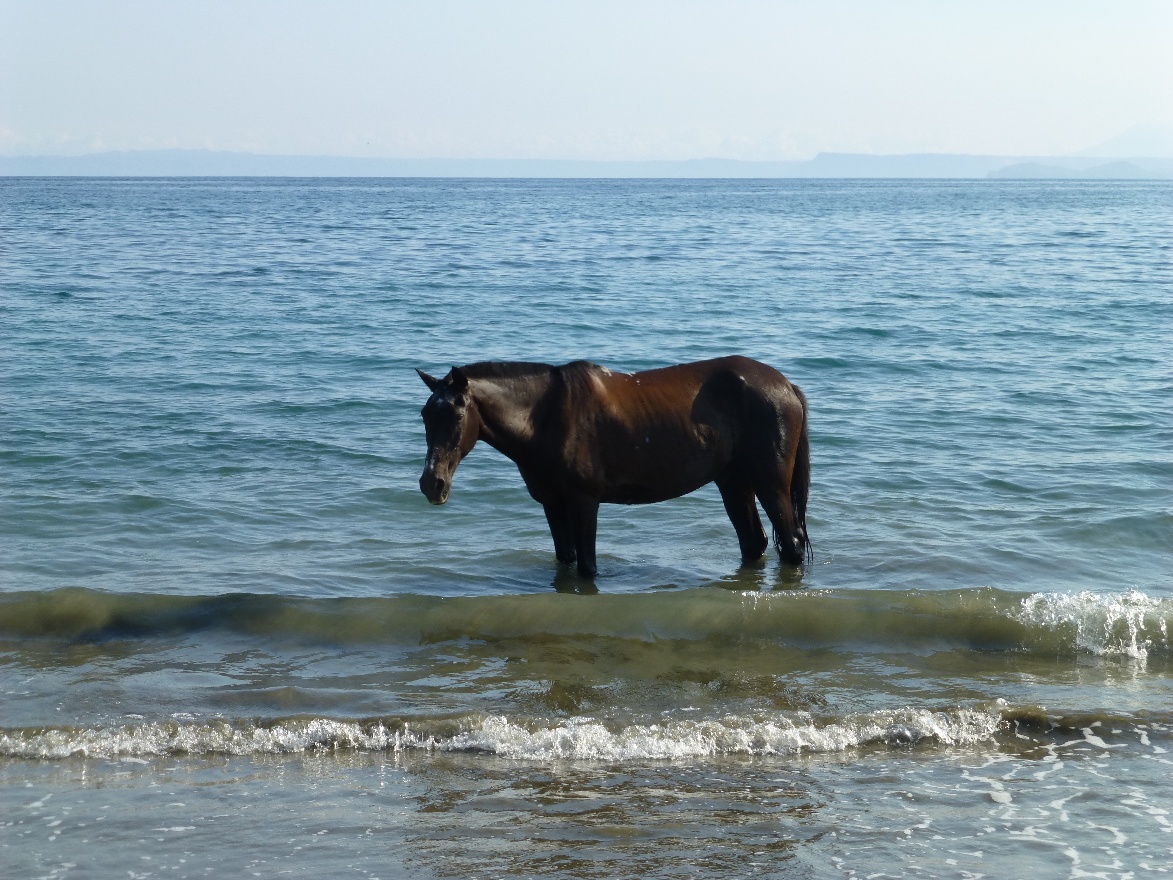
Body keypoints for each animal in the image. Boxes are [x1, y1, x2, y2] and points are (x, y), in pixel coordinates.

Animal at [416, 356, 811, 578]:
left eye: (456, 415)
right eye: (424, 415)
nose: (431, 484)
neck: (545, 417)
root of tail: (786, 385)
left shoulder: (584, 502)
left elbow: (587, 568)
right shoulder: (552, 504)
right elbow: (567, 560)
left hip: (770, 484)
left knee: (789, 543)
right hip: (733, 482)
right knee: (754, 543)